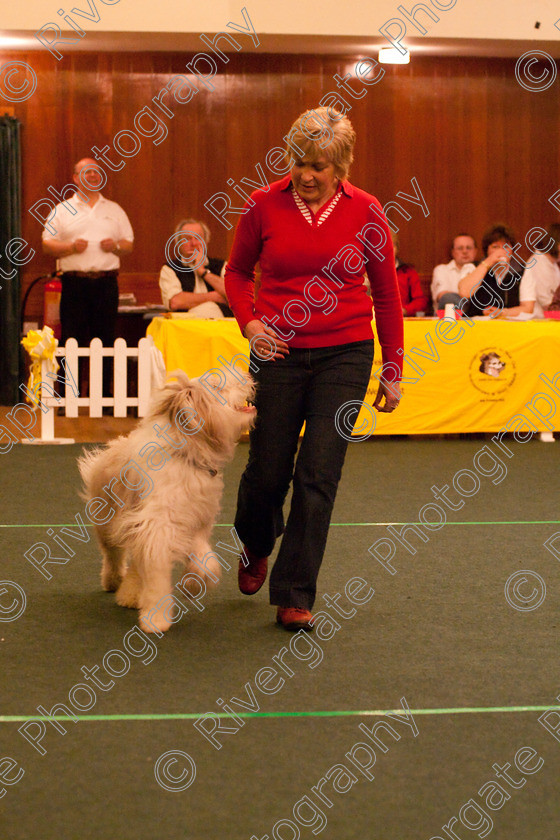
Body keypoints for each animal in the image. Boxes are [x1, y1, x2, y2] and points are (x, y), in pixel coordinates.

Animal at [77, 370, 256, 632]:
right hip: (107, 520)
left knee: (134, 565)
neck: (187, 456)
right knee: (113, 555)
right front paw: (156, 620)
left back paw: (129, 595)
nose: (247, 376)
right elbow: (156, 580)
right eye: (217, 386)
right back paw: (114, 582)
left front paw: (193, 585)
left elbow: (205, 560)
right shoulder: (156, 529)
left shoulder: (196, 522)